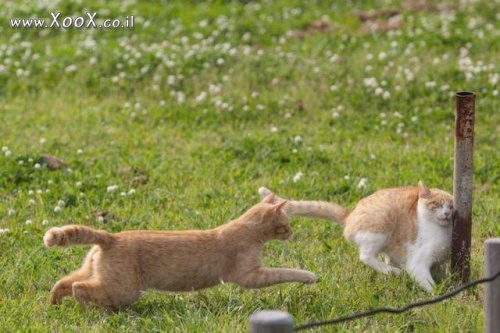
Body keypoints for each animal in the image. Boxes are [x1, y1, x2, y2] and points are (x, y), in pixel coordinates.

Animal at [44, 195, 316, 308]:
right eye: (286, 224)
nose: (292, 233)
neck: (246, 230)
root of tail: (111, 237)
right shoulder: (251, 276)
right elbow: (285, 272)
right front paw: (309, 276)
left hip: (94, 273)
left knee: (63, 282)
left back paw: (54, 304)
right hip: (124, 290)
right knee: (80, 288)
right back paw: (89, 310)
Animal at [260, 182, 456, 290]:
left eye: (451, 206)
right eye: (438, 204)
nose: (447, 213)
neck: (441, 232)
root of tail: (350, 216)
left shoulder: (439, 262)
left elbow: (439, 271)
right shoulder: (418, 263)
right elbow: (428, 283)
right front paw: (439, 295)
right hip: (381, 224)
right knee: (366, 256)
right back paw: (391, 271)